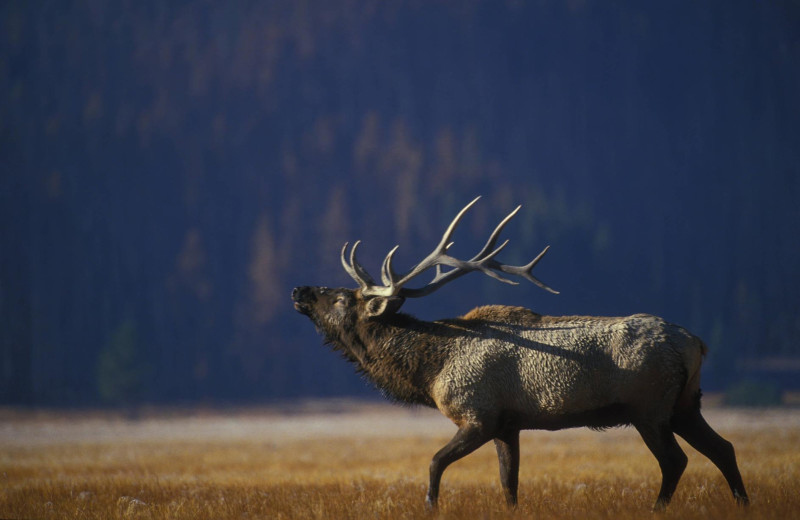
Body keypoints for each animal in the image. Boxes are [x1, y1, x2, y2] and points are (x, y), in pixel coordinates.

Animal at [292, 197, 752, 510]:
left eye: (340, 298)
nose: (299, 289)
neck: (430, 370)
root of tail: (695, 343)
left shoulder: (478, 414)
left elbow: (435, 463)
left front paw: (431, 507)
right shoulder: (507, 425)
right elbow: (508, 483)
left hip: (649, 408)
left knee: (675, 461)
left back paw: (657, 509)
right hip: (686, 404)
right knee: (724, 448)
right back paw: (743, 504)